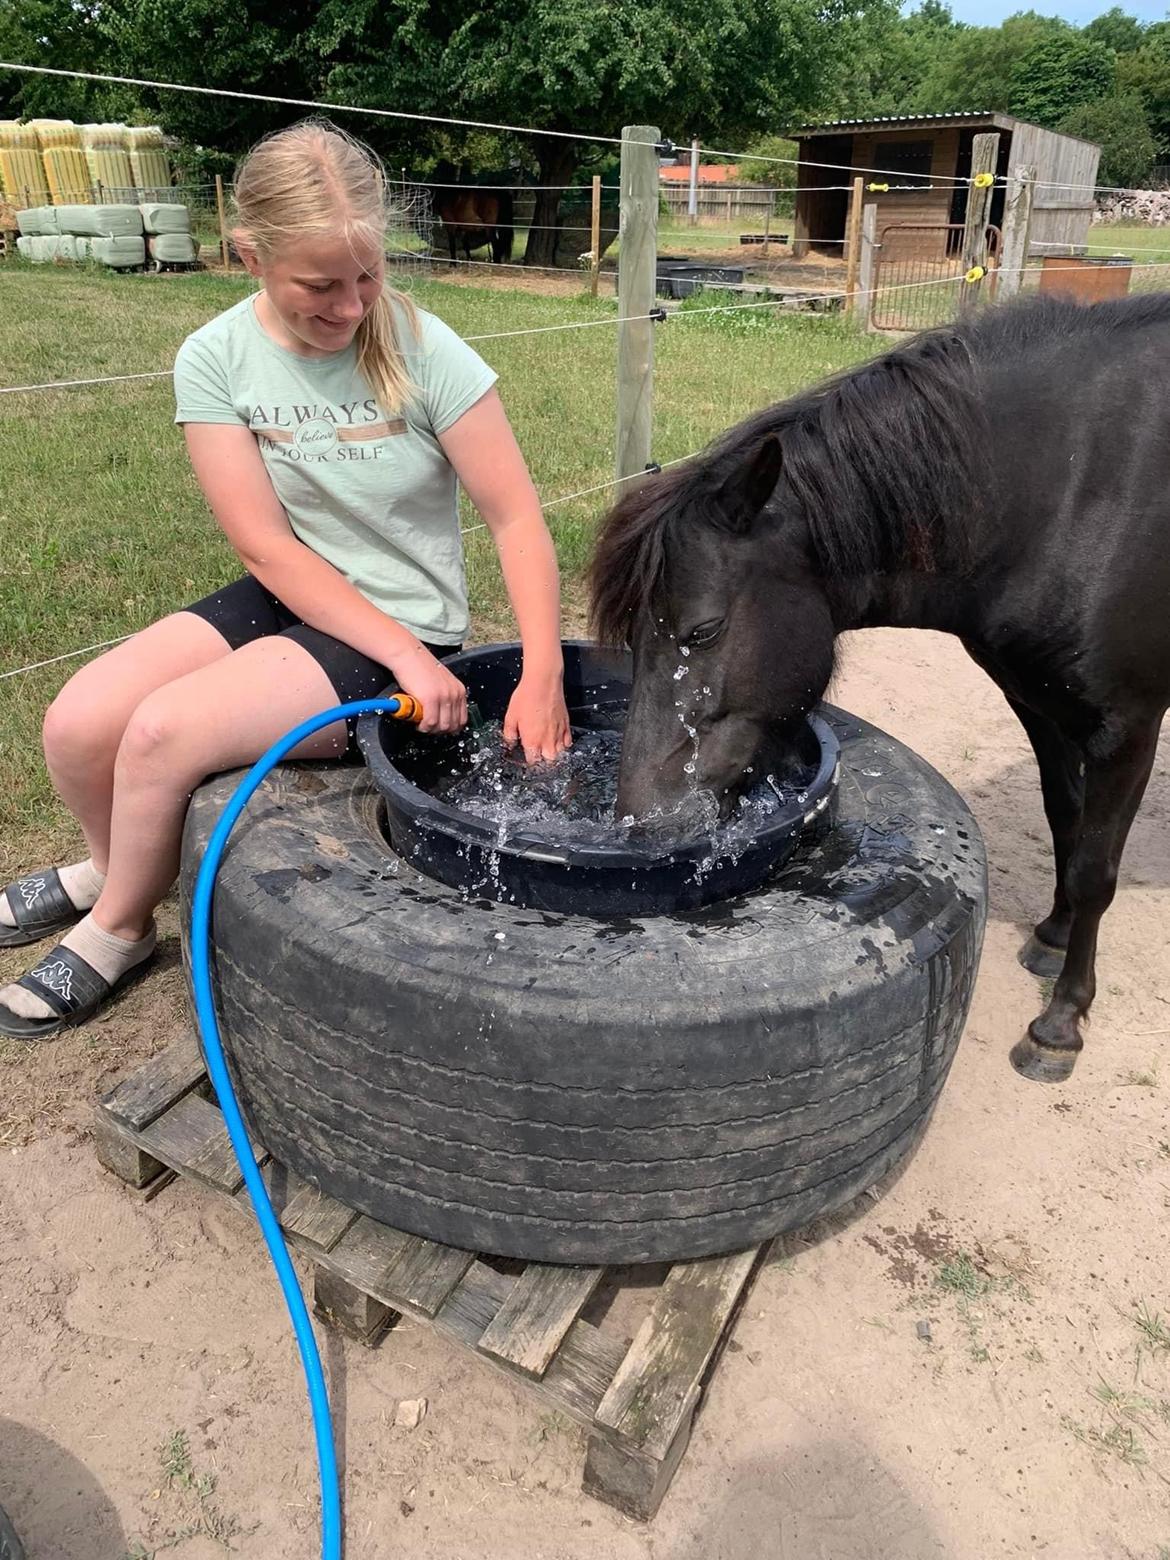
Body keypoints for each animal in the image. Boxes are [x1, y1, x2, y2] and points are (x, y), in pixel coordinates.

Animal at [589, 293, 1170, 1085]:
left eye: (702, 632)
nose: (643, 824)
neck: (1073, 486)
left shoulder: (1127, 726)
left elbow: (1094, 870)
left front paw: (1061, 1023)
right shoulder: (1039, 704)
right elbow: (1065, 820)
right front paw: (1052, 937)